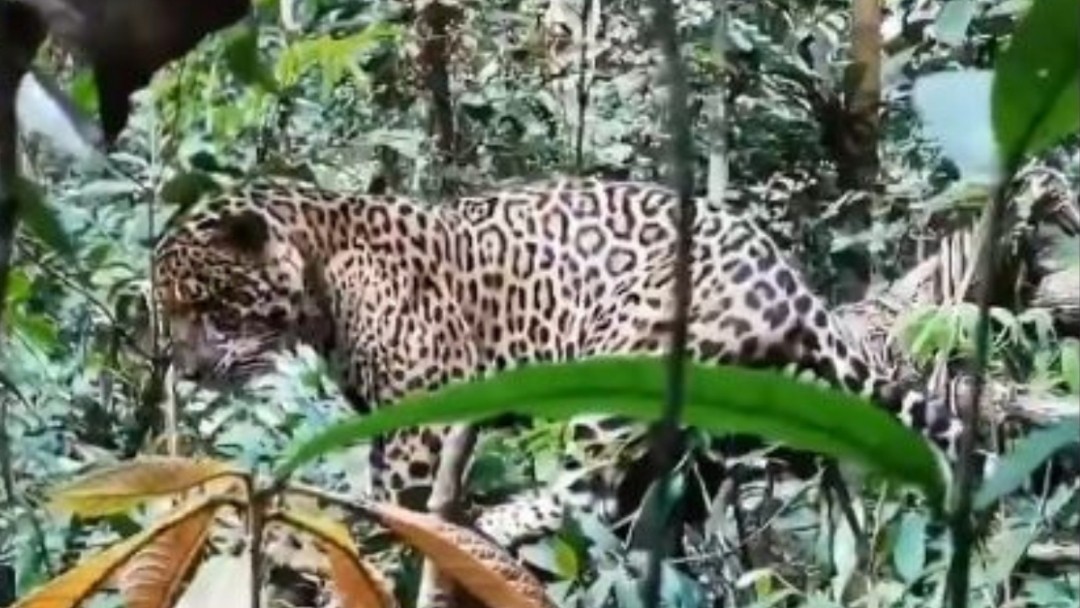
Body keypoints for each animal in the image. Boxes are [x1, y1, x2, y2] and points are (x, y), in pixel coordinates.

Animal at [153, 175, 974, 571]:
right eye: (170, 314)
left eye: (210, 308)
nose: (185, 370)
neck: (322, 268)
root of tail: (795, 287)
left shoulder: (420, 414)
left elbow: (393, 496)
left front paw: (377, 540)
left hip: (626, 359)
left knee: (589, 490)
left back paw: (491, 523)